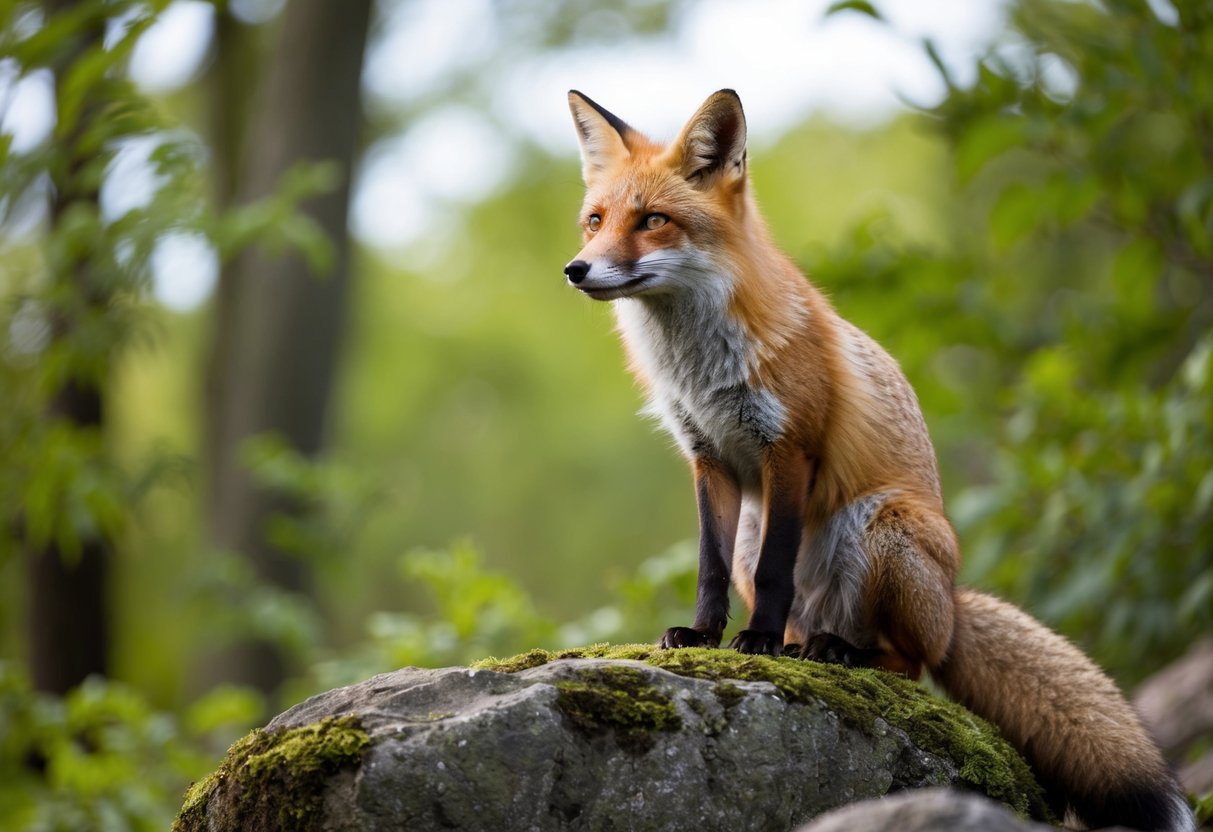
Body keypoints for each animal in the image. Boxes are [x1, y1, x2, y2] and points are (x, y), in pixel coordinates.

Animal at [563, 89, 1194, 831]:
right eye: (594, 222)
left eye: (653, 221)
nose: (576, 269)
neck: (697, 366)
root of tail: (953, 602)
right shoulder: (709, 459)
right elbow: (708, 569)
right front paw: (701, 636)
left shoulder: (789, 449)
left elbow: (775, 573)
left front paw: (756, 642)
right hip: (768, 530)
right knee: (817, 621)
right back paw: (806, 647)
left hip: (881, 526)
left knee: (908, 662)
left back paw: (835, 651)